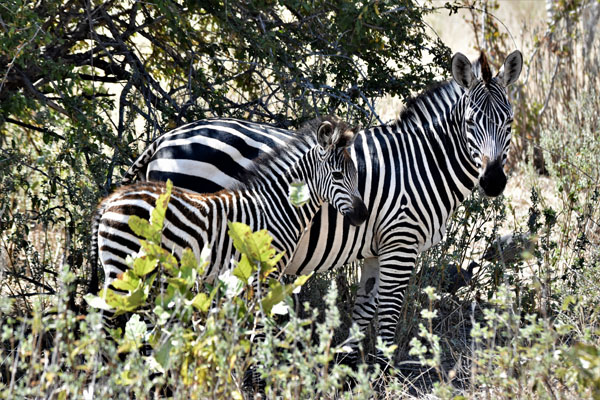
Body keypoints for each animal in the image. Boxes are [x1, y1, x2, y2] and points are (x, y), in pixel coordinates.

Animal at [95, 115, 366, 288]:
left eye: (356, 173)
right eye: (338, 176)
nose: (362, 215)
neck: (276, 206)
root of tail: (161, 140)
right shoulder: (265, 269)